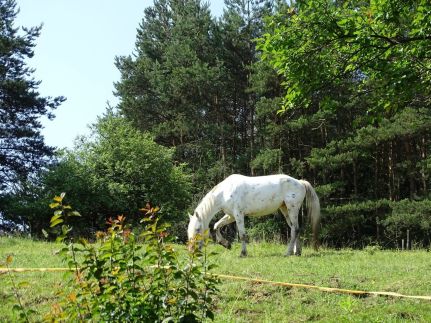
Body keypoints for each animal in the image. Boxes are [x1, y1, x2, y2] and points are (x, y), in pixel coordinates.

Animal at [188, 173, 320, 260]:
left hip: (292, 208)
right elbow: (216, 225)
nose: (191, 251)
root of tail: (300, 182)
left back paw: (288, 253)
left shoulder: (238, 215)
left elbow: (242, 235)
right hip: (285, 210)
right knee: (295, 229)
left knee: (295, 230)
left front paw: (243, 253)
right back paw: (297, 252)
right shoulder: (231, 216)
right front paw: (225, 244)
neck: (224, 192)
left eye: (197, 229)